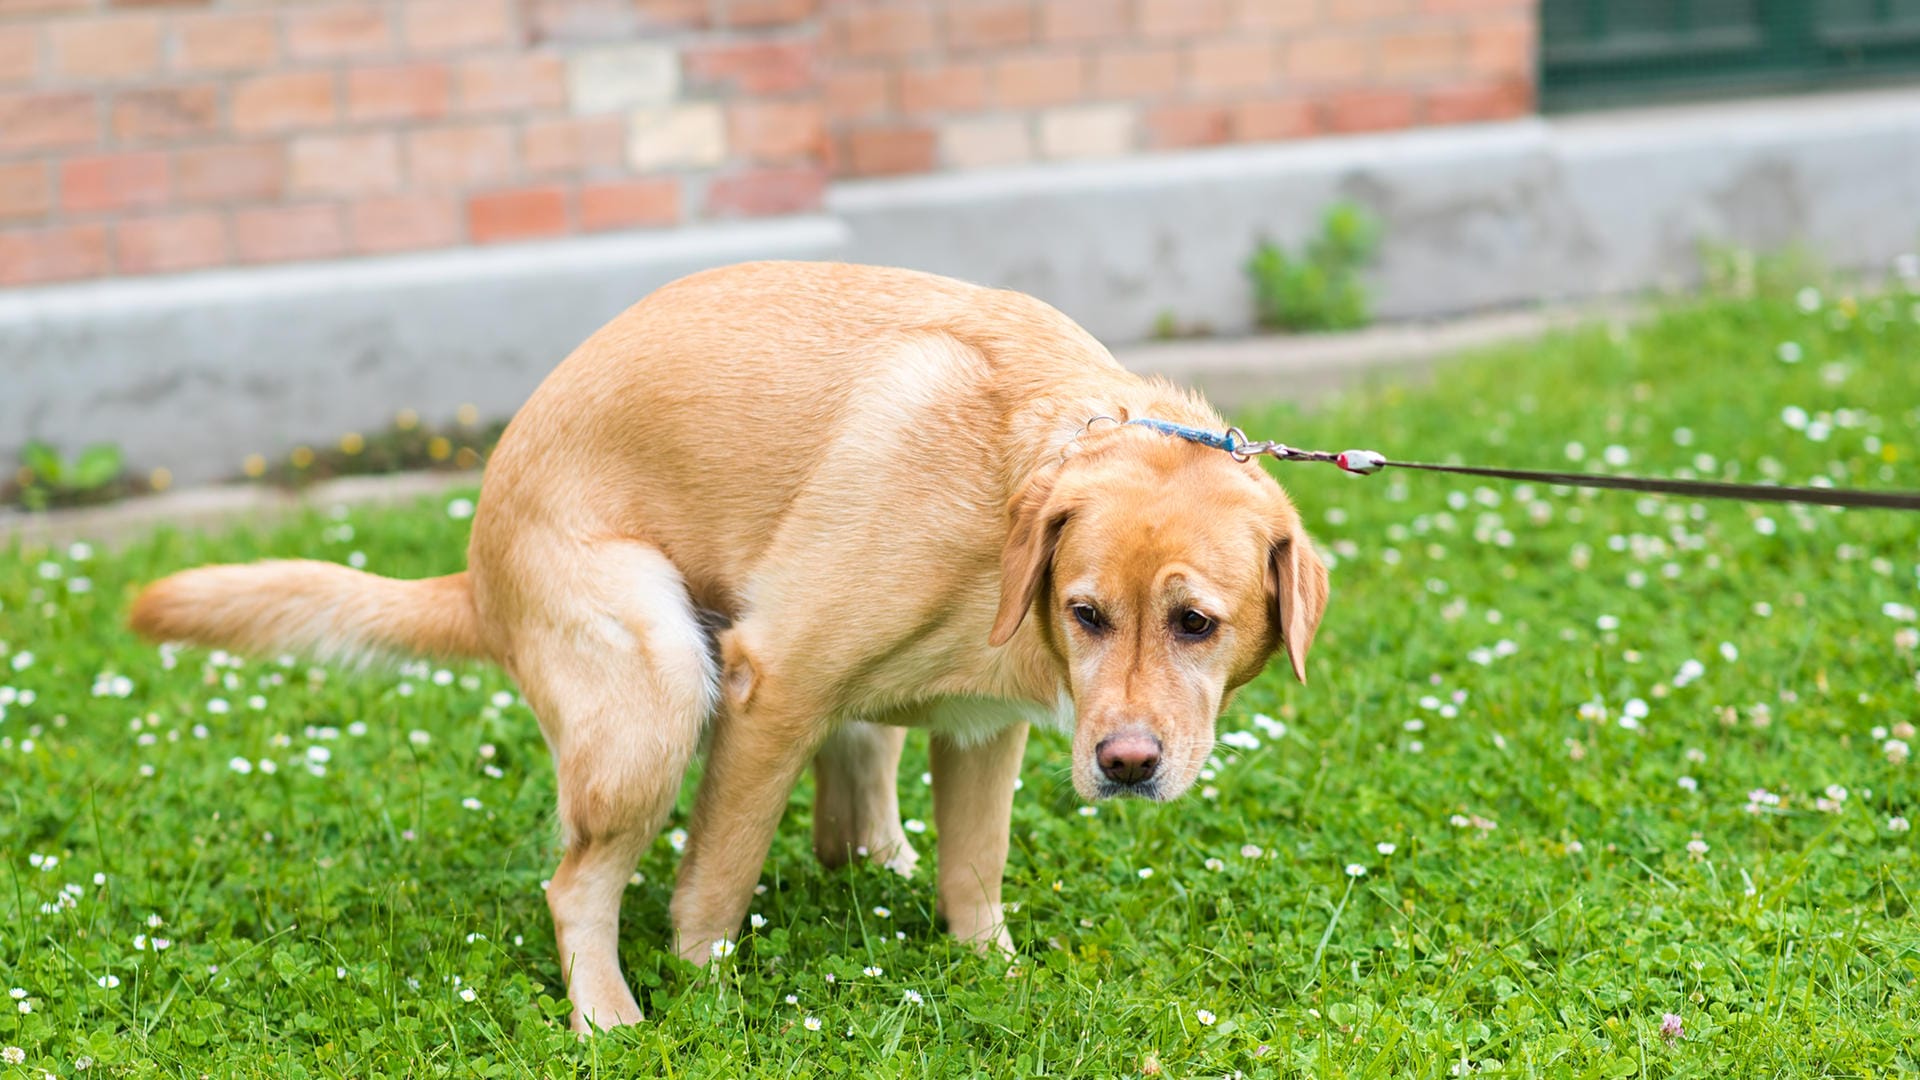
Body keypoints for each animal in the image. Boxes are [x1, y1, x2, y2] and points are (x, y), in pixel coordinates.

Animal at [127, 259, 1328, 1022]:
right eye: (1087, 614)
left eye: (1195, 624)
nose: (1125, 765)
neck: (1009, 489)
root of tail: (477, 571)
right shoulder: (772, 685)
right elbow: (714, 883)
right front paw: (705, 993)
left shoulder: (984, 733)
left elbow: (974, 875)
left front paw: (994, 971)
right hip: (656, 690)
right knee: (578, 888)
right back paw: (609, 1016)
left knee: (855, 807)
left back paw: (876, 860)